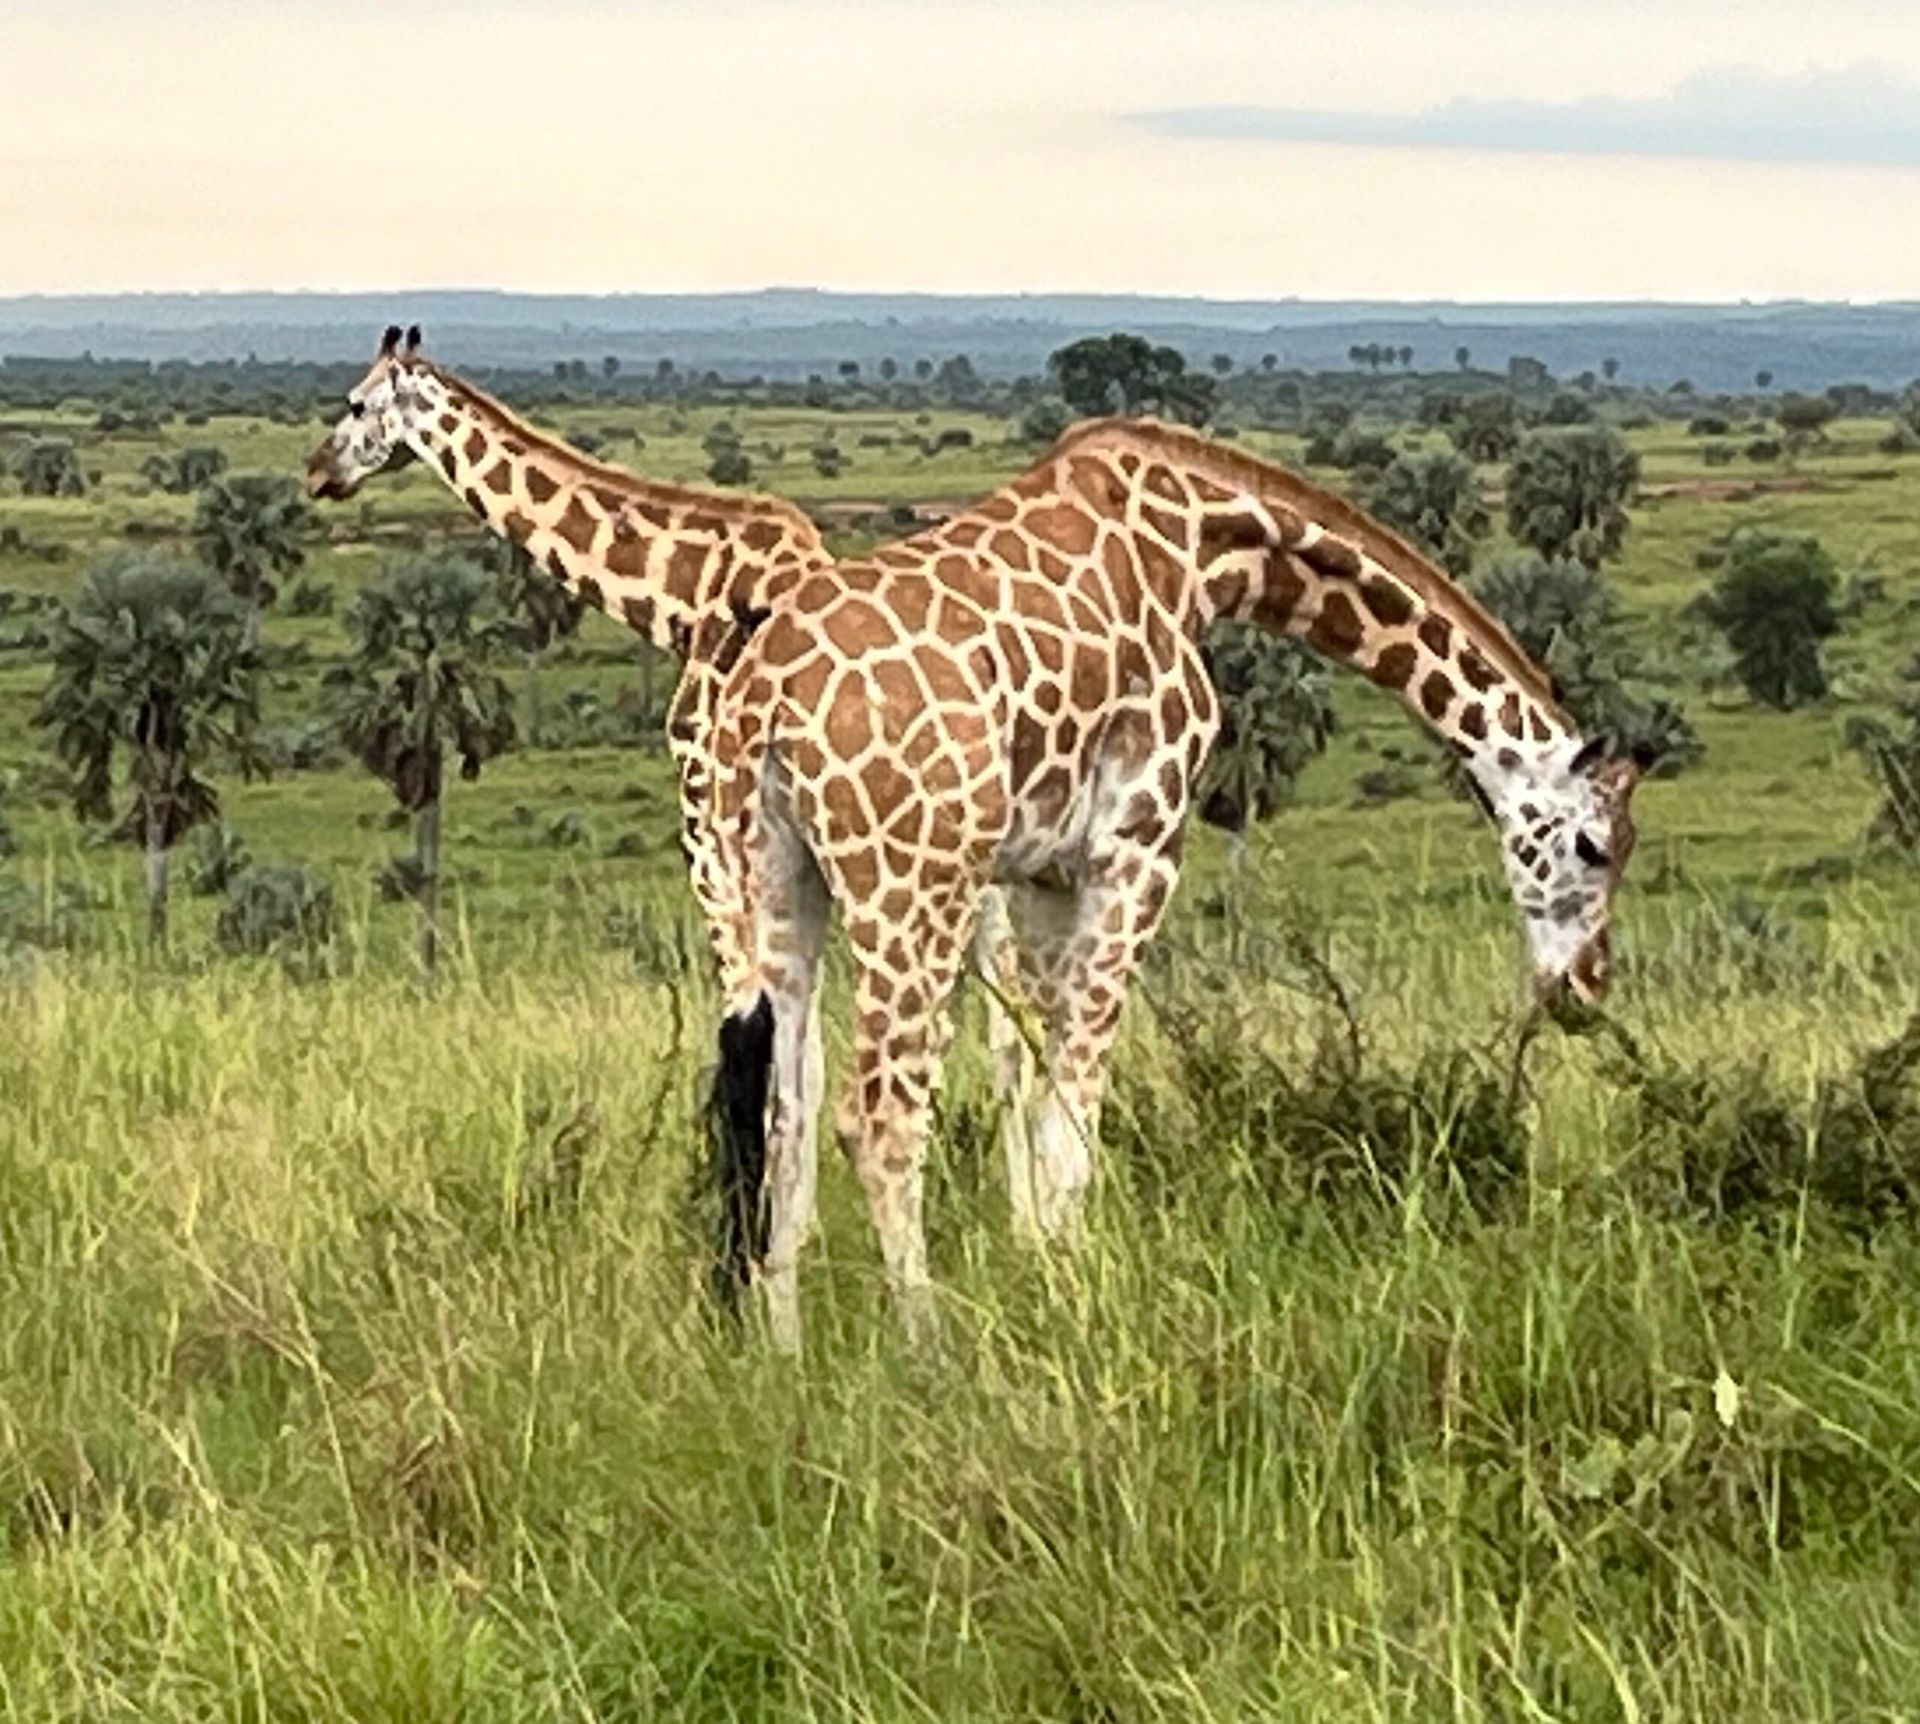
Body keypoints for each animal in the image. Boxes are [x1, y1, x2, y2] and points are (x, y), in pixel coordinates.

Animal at [700, 416, 1650, 1347]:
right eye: (1595, 847)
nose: (1586, 986)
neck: (1206, 549)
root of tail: (768, 702)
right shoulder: (1137, 846)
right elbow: (1077, 1105)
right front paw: (1076, 1302)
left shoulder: (1043, 873)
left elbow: (1041, 1080)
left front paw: (1046, 1275)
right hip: (913, 879)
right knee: (880, 1117)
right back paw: (929, 1351)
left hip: (777, 879)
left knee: (786, 1112)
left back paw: (784, 1356)